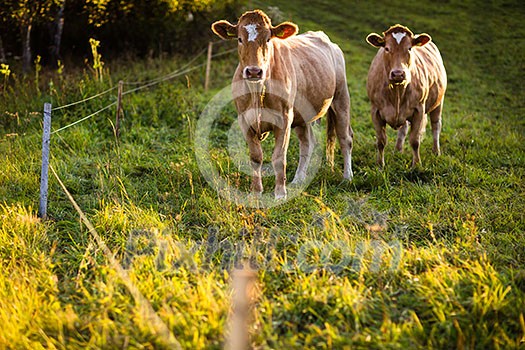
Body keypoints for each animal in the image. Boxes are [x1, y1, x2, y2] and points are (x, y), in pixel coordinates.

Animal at [212, 10, 352, 200]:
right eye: (240, 39)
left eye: (268, 39)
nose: (254, 71)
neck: (257, 93)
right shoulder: (244, 121)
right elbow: (256, 157)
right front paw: (256, 192)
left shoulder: (284, 120)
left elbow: (279, 158)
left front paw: (280, 193)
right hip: (302, 116)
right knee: (307, 143)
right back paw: (298, 179)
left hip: (341, 99)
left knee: (346, 139)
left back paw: (347, 177)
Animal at [364, 23, 446, 167]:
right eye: (386, 48)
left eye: (409, 48)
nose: (398, 73)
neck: (396, 92)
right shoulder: (375, 110)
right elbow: (381, 141)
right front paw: (380, 165)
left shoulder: (419, 110)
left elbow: (415, 140)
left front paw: (416, 165)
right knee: (404, 128)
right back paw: (398, 150)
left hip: (438, 103)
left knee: (436, 126)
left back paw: (436, 152)